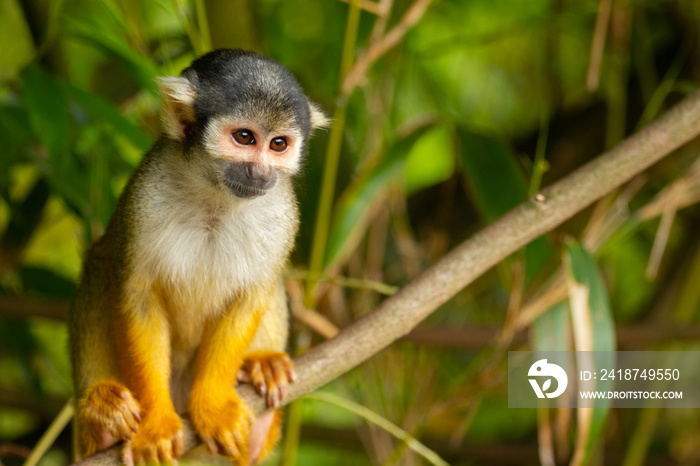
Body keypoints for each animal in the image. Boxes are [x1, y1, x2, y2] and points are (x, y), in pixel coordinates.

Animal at [68, 48, 328, 466]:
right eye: (244, 137)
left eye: (278, 144)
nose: (260, 172)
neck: (216, 196)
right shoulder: (145, 198)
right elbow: (137, 296)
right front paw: (155, 423)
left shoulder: (283, 212)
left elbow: (251, 297)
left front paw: (214, 405)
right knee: (100, 264)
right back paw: (102, 419)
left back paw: (261, 395)